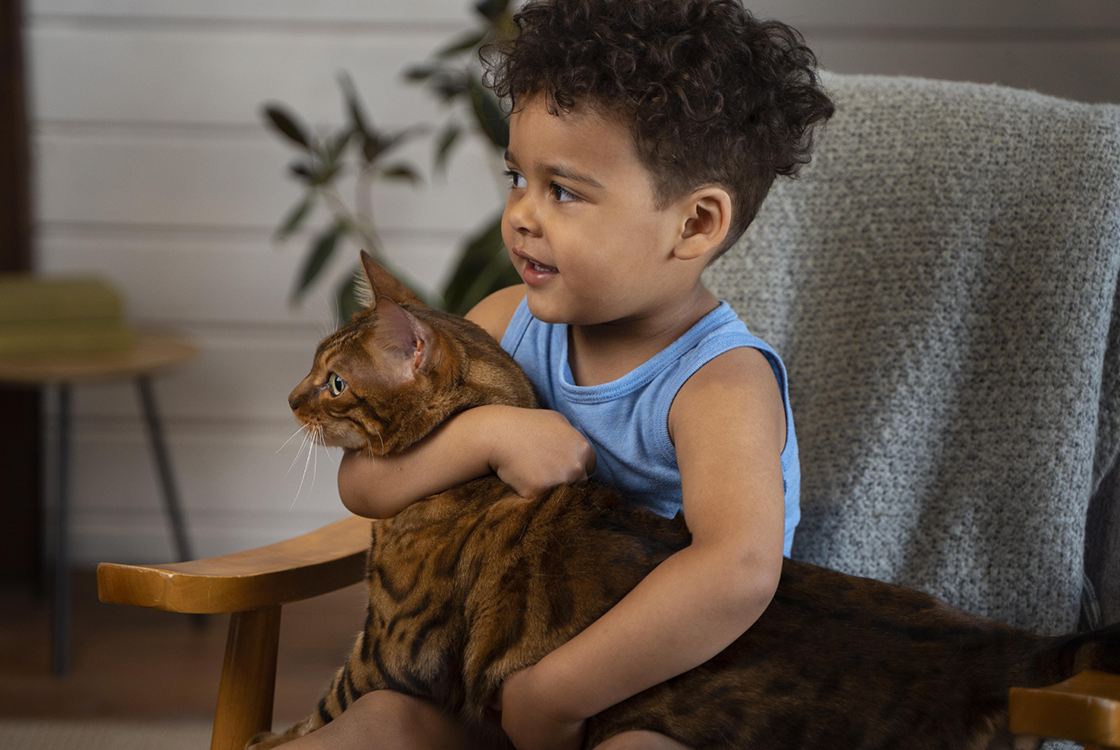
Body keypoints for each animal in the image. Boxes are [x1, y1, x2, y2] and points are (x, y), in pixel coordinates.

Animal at [256, 249, 1120, 747]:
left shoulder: (385, 656)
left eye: (335, 382)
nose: (289, 398)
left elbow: (297, 728)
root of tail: (1018, 656)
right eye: (312, 370)